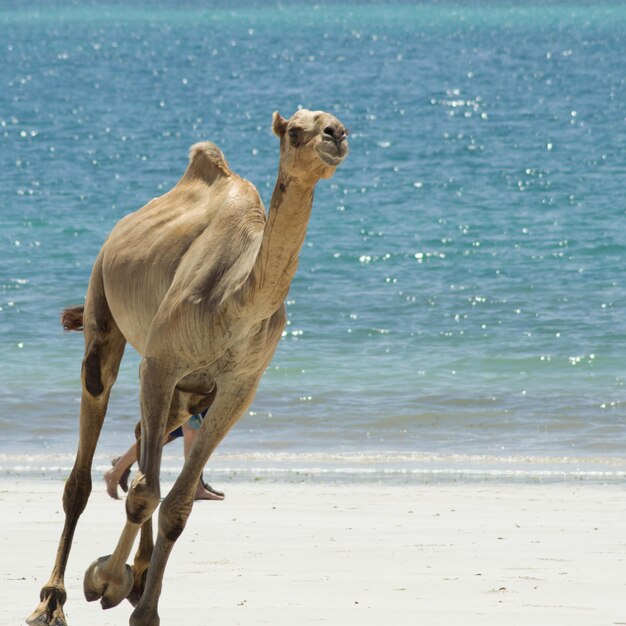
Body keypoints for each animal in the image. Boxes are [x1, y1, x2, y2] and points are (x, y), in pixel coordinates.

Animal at [28, 109, 346, 624]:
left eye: (339, 123)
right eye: (296, 131)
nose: (334, 137)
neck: (236, 302)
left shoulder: (239, 389)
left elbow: (176, 505)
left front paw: (141, 606)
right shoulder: (161, 361)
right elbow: (144, 494)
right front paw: (102, 579)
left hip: (192, 392)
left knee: (145, 433)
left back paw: (134, 576)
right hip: (102, 302)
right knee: (87, 449)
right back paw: (53, 600)